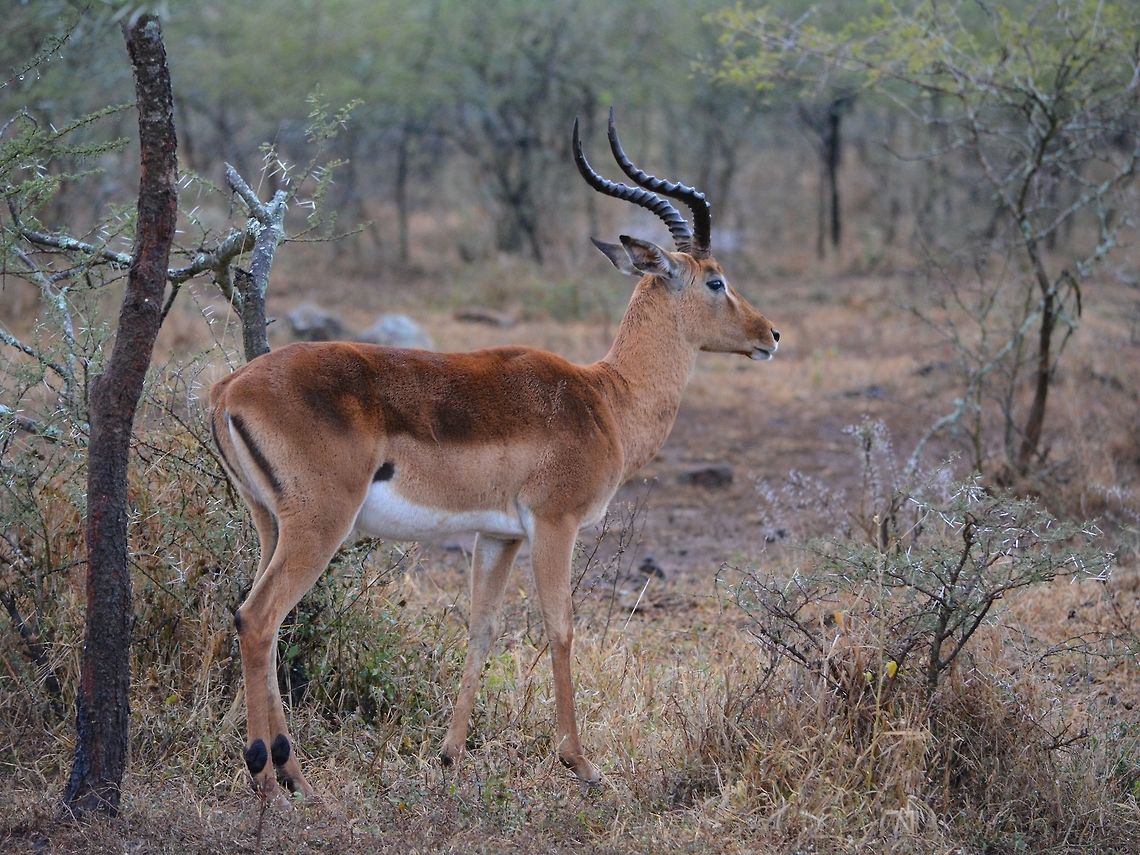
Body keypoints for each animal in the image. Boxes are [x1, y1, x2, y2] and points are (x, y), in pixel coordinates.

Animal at [209, 110, 779, 801]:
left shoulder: (497, 535)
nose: (770, 335)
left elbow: (481, 629)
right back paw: (270, 781)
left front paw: (449, 756)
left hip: (270, 523)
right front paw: (582, 765)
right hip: (320, 525)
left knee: (259, 621)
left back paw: (292, 775)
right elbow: (561, 627)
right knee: (259, 617)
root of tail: (230, 387)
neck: (605, 398)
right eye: (716, 279)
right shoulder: (554, 523)